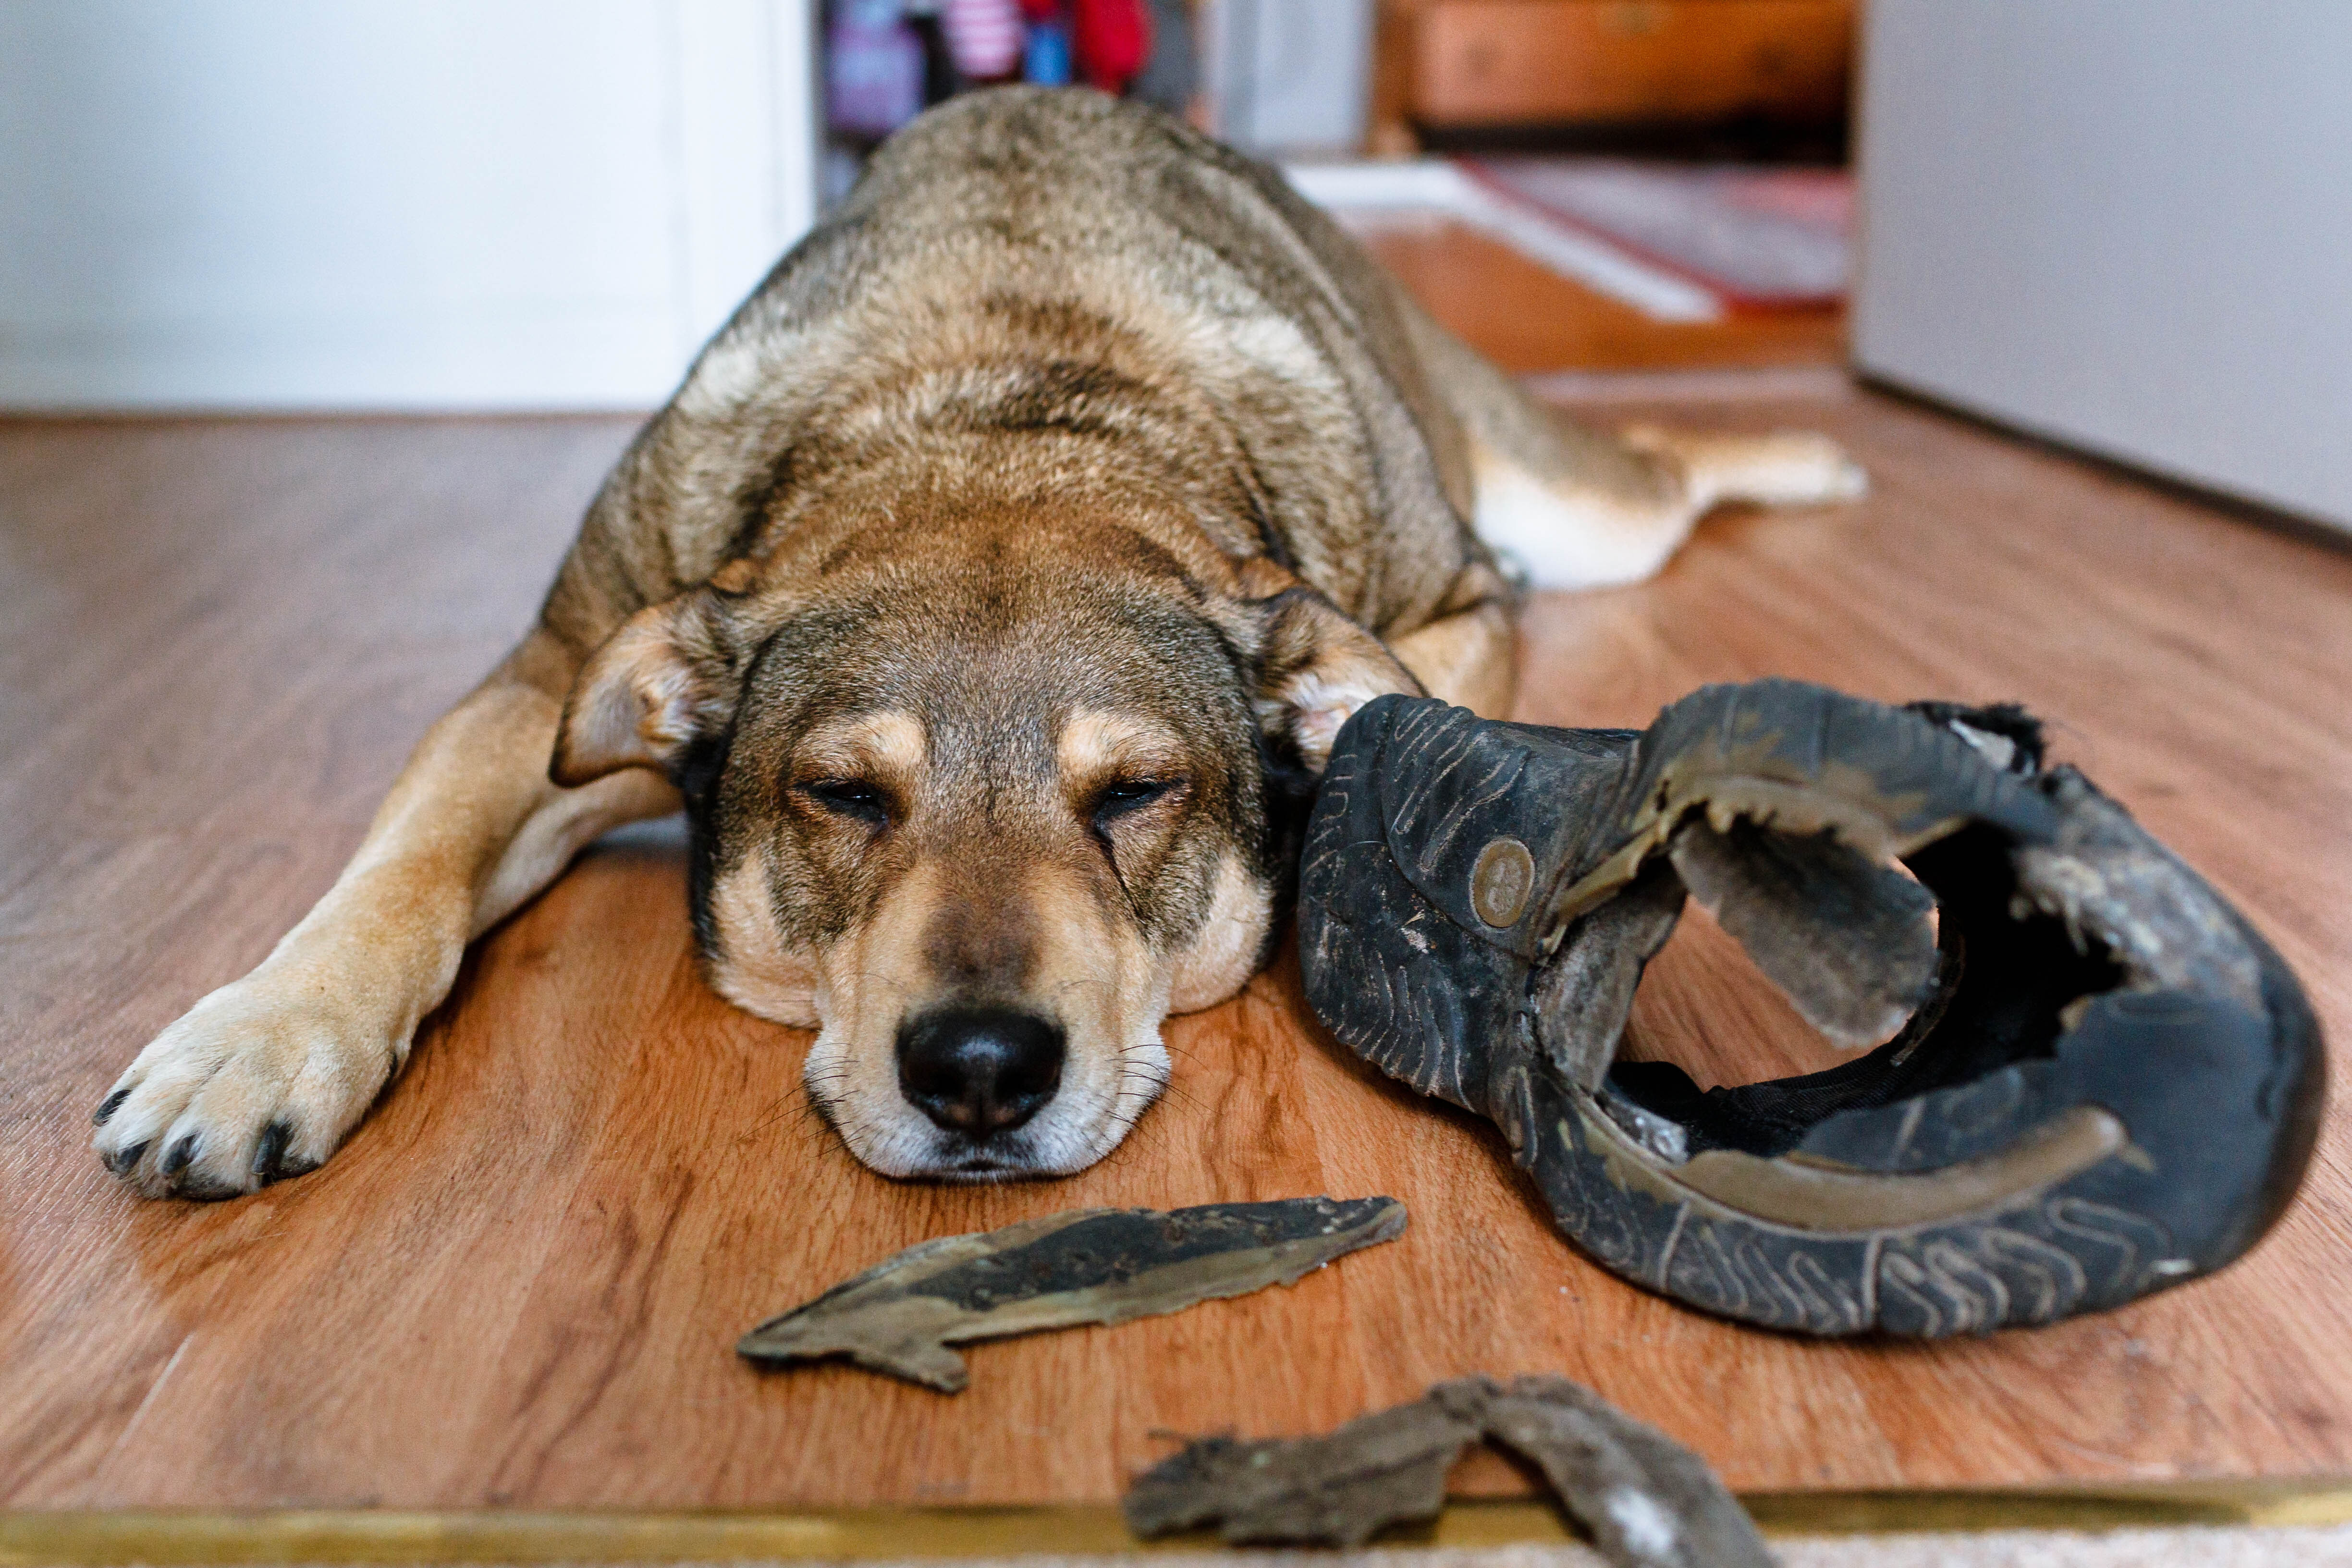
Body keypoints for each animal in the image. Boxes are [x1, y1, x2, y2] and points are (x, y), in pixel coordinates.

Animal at [87, 88, 1853, 1203]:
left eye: (1136, 794)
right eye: (843, 798)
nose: (983, 1071)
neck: (1000, 428)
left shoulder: (1442, 617)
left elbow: (1378, 726)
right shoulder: (546, 678)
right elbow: (404, 868)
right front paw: (253, 1045)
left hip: (1569, 513)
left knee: (1658, 471)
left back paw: (1826, 456)